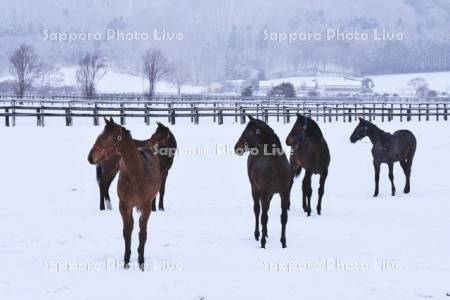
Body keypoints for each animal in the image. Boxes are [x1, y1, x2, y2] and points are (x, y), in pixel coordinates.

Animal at [87, 118, 161, 272]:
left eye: (106, 137)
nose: (90, 157)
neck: (136, 174)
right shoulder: (124, 205)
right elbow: (127, 232)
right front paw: (126, 261)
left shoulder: (146, 206)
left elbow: (142, 233)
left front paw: (141, 263)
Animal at [234, 115, 290, 248]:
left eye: (249, 132)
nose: (237, 147)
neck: (277, 167)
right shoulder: (264, 193)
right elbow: (263, 218)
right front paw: (263, 243)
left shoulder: (284, 193)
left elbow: (284, 217)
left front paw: (283, 243)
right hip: (255, 189)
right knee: (257, 211)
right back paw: (258, 235)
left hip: (270, 194)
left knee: (266, 210)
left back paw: (266, 233)